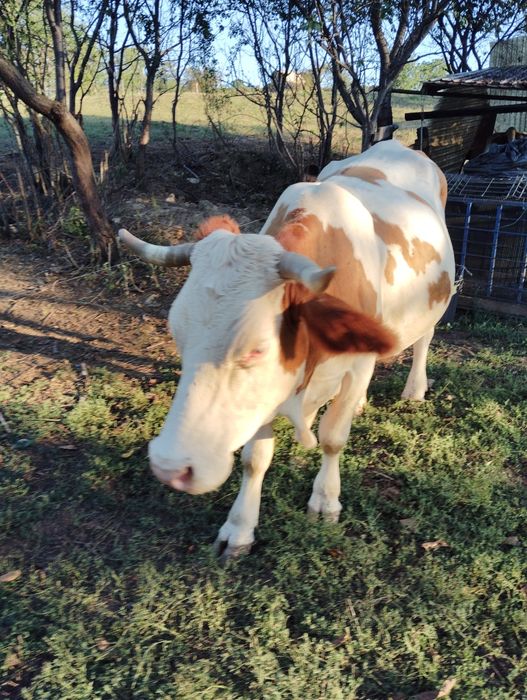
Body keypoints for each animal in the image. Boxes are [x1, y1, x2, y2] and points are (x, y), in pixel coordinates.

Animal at [118, 140, 455, 560]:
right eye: (178, 334)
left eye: (257, 350)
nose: (169, 468)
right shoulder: (268, 391)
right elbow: (254, 459)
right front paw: (239, 528)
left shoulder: (355, 365)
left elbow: (333, 438)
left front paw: (325, 501)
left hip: (434, 301)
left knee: (424, 338)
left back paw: (414, 389)